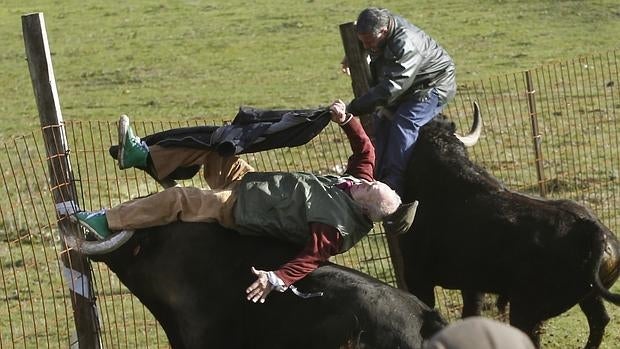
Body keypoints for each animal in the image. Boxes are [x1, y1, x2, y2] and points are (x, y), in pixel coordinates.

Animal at [400, 109, 620, 348]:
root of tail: (594, 230)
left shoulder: (419, 278)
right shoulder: (472, 284)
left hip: (527, 309)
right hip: (588, 297)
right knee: (599, 321)